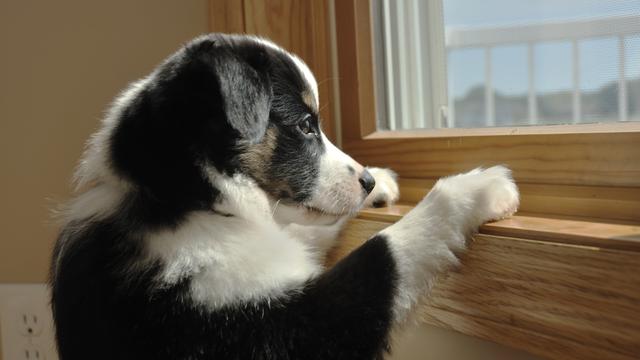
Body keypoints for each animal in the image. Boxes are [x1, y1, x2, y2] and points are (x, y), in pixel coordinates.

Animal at [51, 33, 520, 360]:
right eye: (306, 125)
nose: (367, 180)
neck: (192, 202)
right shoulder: (277, 326)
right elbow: (386, 251)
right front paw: (479, 187)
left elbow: (309, 229)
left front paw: (384, 184)